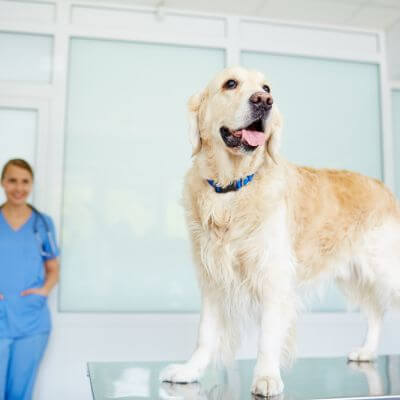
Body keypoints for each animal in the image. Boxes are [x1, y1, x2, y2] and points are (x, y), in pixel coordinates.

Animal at [160, 66, 400, 396]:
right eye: (230, 84)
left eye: (267, 88)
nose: (264, 101)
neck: (232, 190)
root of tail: (383, 187)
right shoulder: (212, 279)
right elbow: (205, 334)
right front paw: (190, 370)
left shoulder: (273, 276)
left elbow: (268, 336)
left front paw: (266, 376)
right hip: (355, 273)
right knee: (376, 312)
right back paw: (367, 351)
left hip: (384, 267)